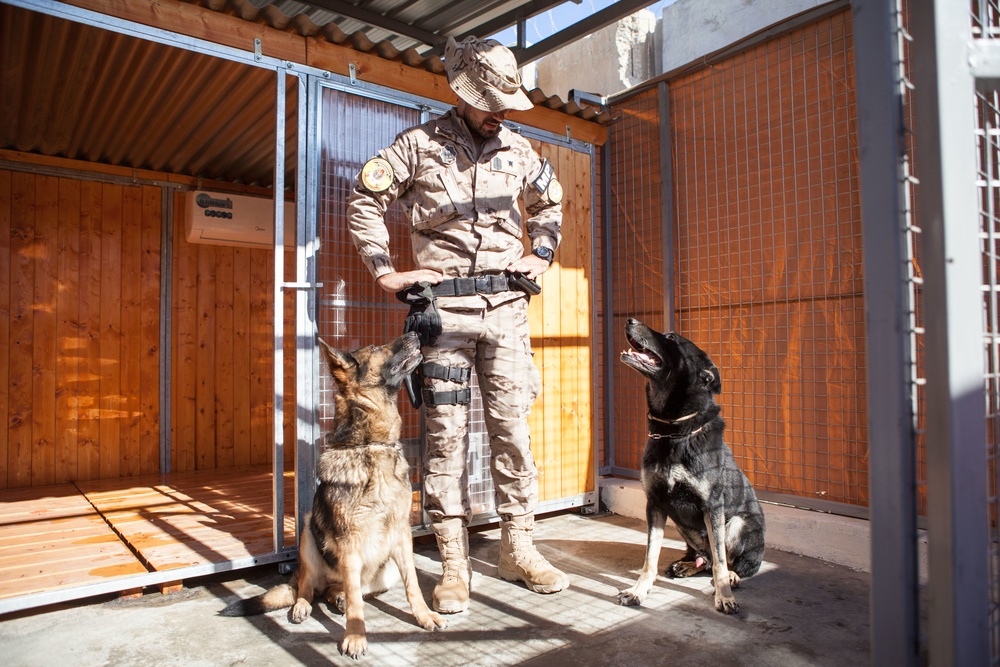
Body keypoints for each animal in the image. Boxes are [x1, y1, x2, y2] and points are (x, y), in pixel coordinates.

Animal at [227, 334, 450, 656]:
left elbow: (413, 585)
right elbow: (356, 600)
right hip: (308, 535)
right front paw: (355, 636)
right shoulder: (348, 541)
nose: (415, 335)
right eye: (376, 349)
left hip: (384, 570)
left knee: (341, 590)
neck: (370, 444)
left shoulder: (402, 535)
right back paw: (303, 605)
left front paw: (424, 616)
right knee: (307, 588)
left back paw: (337, 598)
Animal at [616, 318, 764, 616]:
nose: (630, 320)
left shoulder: (713, 507)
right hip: (682, 523)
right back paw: (686, 565)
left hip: (739, 523)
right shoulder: (656, 504)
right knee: (704, 558)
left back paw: (732, 576)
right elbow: (650, 557)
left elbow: (720, 561)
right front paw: (639, 591)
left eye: (672, 337)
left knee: (731, 561)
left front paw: (724, 596)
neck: (674, 431)